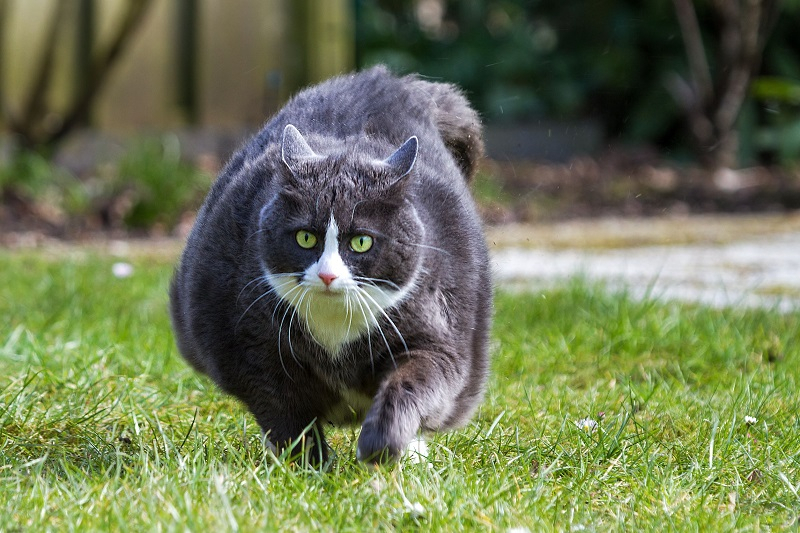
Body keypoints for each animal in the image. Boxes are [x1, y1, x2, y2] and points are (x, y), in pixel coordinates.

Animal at [170, 65, 488, 466]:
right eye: (306, 237)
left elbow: (416, 381)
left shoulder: (437, 337)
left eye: (362, 241)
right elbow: (284, 412)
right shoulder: (248, 349)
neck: (336, 329)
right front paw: (309, 466)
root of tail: (393, 81)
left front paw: (380, 445)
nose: (327, 274)